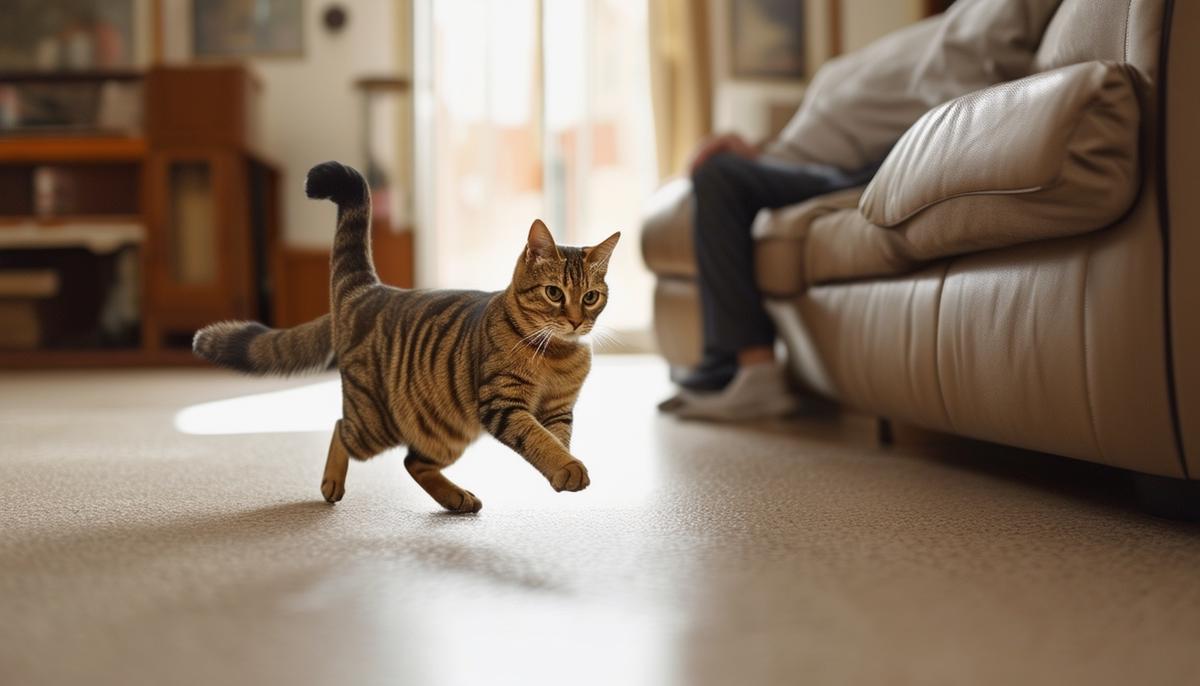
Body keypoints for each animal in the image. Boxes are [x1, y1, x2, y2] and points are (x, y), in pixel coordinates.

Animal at [194, 161, 619, 513]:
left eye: (590, 297)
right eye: (554, 293)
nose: (576, 321)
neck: (556, 355)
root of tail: (371, 289)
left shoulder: (559, 409)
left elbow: (555, 438)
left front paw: (564, 464)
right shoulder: (503, 403)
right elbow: (536, 438)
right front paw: (566, 468)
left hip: (443, 431)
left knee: (413, 461)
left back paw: (455, 498)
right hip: (373, 423)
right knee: (341, 429)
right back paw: (332, 482)